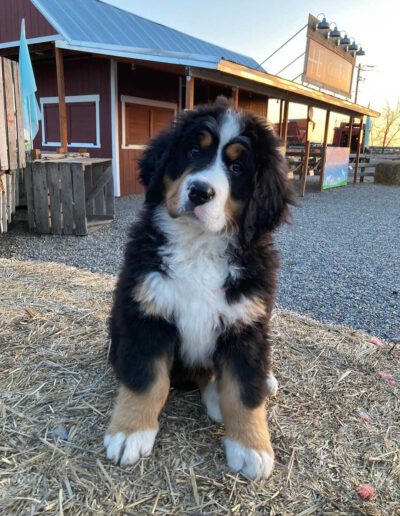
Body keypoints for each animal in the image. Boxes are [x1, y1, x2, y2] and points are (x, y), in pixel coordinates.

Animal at [104, 98, 296, 480]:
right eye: (193, 150)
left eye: (237, 167)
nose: (200, 191)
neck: (198, 245)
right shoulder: (146, 314)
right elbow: (146, 380)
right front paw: (130, 431)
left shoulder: (245, 323)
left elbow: (245, 391)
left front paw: (251, 447)